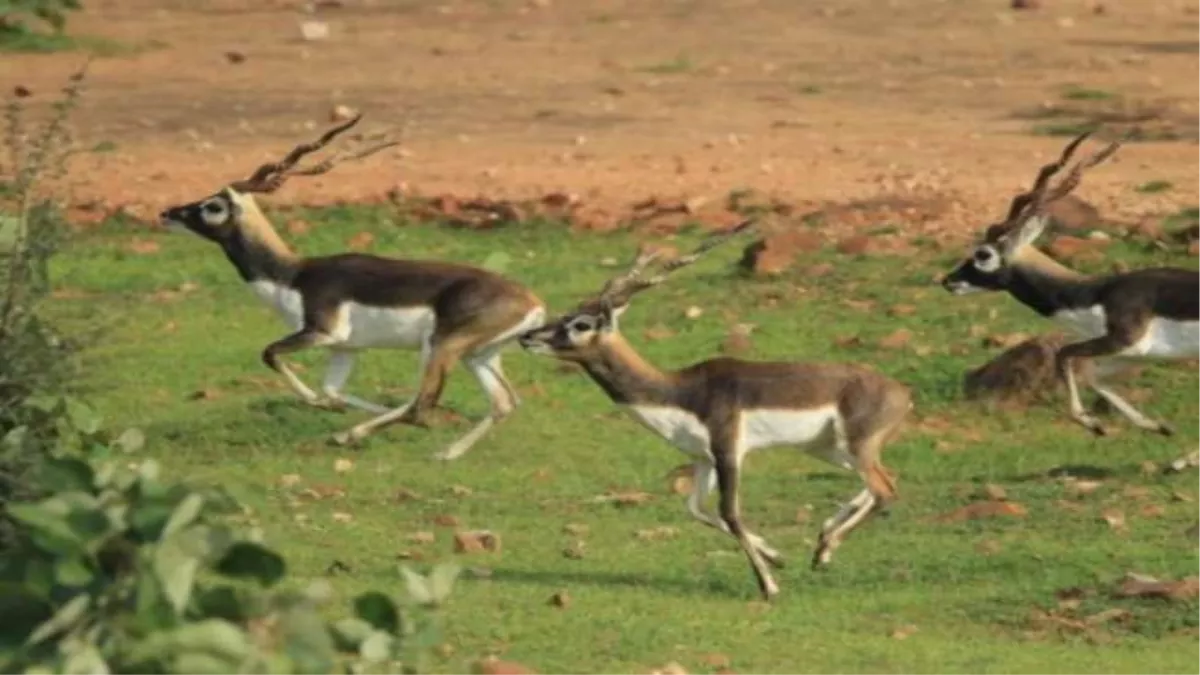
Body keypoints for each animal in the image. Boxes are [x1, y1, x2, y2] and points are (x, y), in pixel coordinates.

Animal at [159, 117, 549, 461]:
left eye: (212, 205)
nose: (168, 213)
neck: (291, 274)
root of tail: (532, 302)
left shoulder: (322, 332)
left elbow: (271, 355)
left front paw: (325, 410)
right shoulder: (345, 348)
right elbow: (332, 390)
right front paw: (335, 407)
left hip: (440, 346)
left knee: (421, 405)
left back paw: (349, 436)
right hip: (478, 355)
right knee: (502, 403)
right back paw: (444, 453)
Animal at [516, 222, 907, 598]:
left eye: (580, 324)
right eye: (566, 314)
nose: (528, 336)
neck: (679, 391)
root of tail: (902, 392)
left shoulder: (728, 448)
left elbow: (729, 512)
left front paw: (769, 586)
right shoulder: (703, 458)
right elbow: (696, 509)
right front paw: (776, 557)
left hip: (853, 447)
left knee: (885, 489)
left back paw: (825, 548)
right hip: (829, 449)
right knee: (884, 480)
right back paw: (822, 547)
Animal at [940, 131, 1200, 437]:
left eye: (983, 254)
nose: (949, 281)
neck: (1096, 294)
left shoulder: (1123, 340)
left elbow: (1065, 355)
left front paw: (1091, 423)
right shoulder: (1133, 354)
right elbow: (1096, 378)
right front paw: (1155, 425)